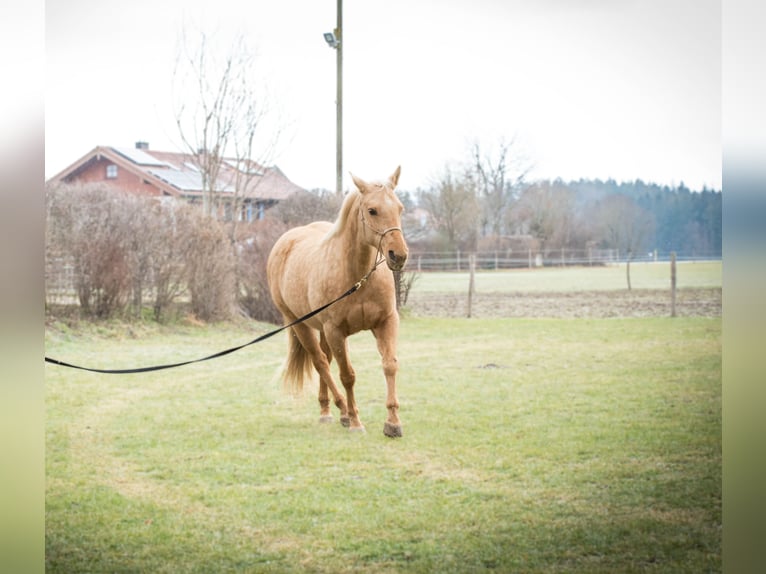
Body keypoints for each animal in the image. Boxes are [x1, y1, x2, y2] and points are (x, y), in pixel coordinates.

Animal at [268, 169, 412, 438]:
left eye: (400, 208)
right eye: (372, 210)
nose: (398, 255)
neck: (359, 278)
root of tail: (285, 241)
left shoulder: (386, 322)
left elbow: (389, 366)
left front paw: (393, 422)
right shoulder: (336, 331)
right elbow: (347, 376)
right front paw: (356, 421)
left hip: (323, 331)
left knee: (326, 360)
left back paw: (330, 410)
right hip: (301, 325)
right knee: (321, 363)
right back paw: (341, 410)